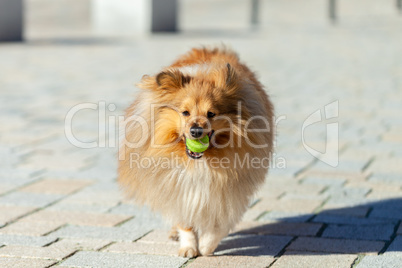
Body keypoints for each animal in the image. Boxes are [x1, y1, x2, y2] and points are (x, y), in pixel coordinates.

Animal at [116, 47, 274, 258]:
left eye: (211, 114)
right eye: (185, 113)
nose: (196, 130)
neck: (201, 163)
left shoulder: (228, 190)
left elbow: (219, 223)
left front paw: (207, 247)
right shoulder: (180, 185)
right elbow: (186, 222)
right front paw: (189, 248)